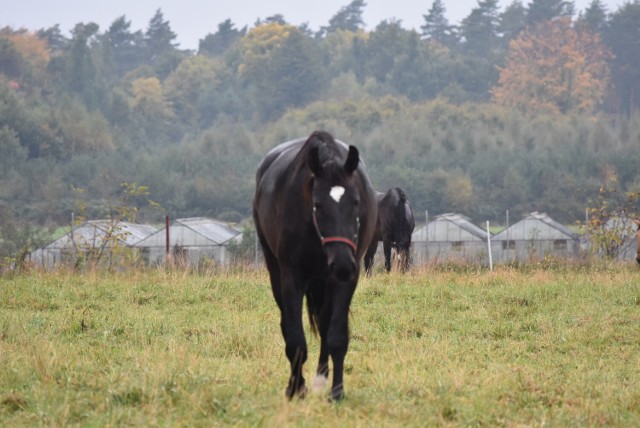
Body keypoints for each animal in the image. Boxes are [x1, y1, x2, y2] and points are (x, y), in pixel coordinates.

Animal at [252, 130, 378, 402]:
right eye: (318, 204)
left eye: (356, 201)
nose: (342, 263)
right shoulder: (292, 278)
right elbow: (295, 339)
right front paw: (296, 389)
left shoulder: (345, 280)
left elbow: (337, 335)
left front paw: (337, 392)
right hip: (278, 272)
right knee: (288, 323)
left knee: (324, 320)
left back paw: (321, 378)